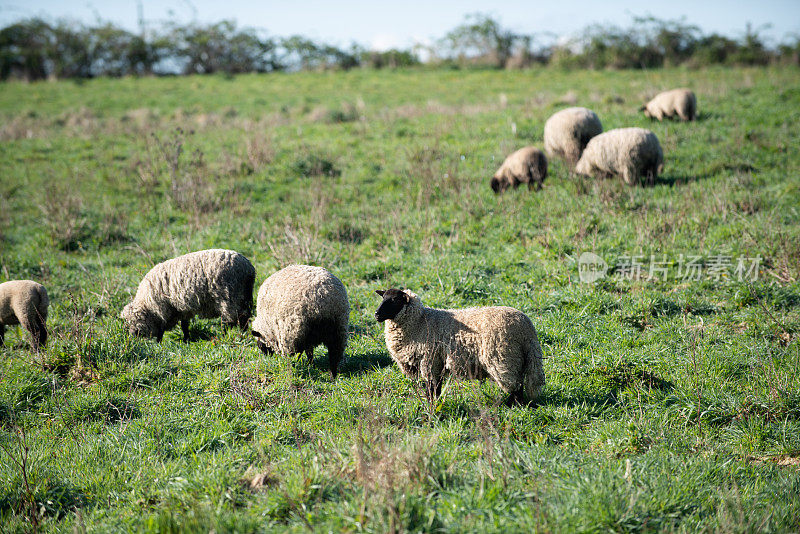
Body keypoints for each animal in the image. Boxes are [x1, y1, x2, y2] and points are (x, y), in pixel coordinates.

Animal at [121, 248, 256, 342]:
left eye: (133, 321)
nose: (132, 337)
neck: (147, 304)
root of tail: (248, 268)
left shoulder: (163, 309)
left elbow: (162, 329)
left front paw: (158, 343)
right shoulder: (181, 308)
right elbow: (184, 325)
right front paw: (186, 339)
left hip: (229, 297)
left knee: (232, 320)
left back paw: (227, 335)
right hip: (244, 296)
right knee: (244, 317)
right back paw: (243, 333)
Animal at [376, 288, 544, 406]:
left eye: (395, 300)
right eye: (383, 298)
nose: (376, 314)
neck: (420, 322)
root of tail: (527, 328)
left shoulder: (430, 360)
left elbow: (431, 388)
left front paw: (431, 406)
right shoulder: (437, 363)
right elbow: (436, 387)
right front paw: (435, 403)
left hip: (504, 358)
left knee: (516, 386)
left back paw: (515, 406)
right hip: (518, 358)